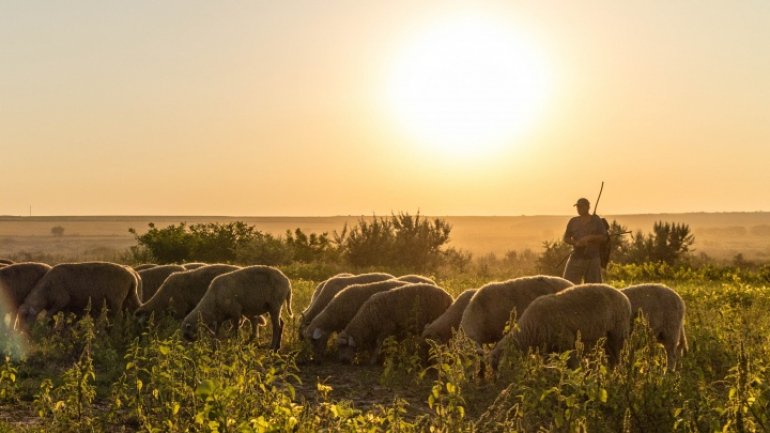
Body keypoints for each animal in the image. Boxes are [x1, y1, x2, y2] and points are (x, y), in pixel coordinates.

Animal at [492, 282, 632, 370]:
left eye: (498, 367)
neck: (530, 330)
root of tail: (624, 297)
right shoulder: (548, 349)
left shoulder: (566, 342)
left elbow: (572, 364)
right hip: (606, 337)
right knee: (611, 357)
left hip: (618, 332)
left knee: (619, 356)